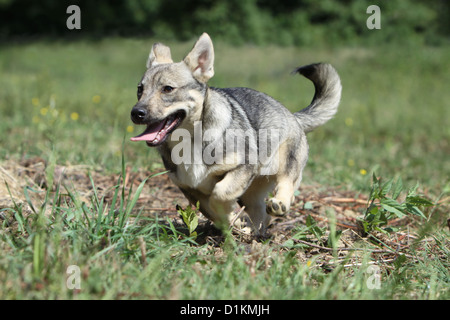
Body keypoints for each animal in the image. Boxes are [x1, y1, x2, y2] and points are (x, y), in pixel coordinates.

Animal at [130, 33, 342, 235]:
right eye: (140, 89)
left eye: (167, 89)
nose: (136, 113)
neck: (191, 140)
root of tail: (293, 116)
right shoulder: (190, 189)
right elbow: (212, 209)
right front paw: (233, 221)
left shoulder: (243, 166)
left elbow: (220, 193)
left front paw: (232, 217)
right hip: (251, 194)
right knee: (261, 214)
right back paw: (253, 232)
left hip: (286, 163)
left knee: (286, 185)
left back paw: (279, 204)